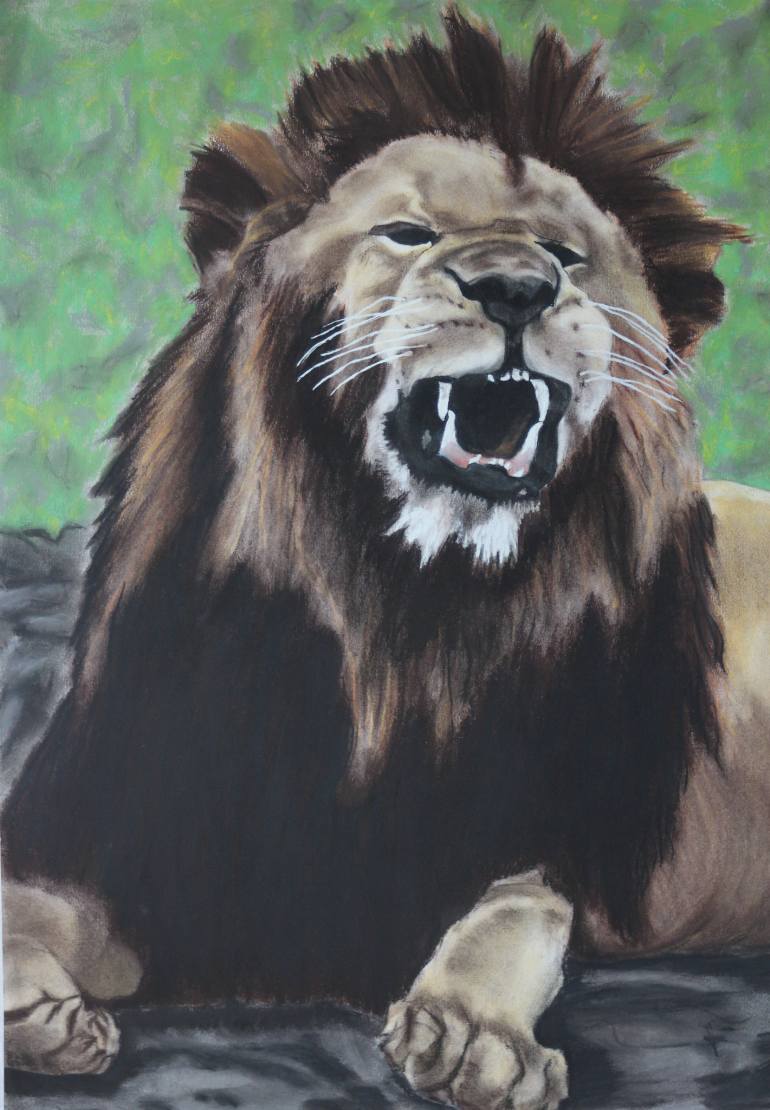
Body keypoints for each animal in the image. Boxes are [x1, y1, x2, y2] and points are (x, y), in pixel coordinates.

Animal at [3, 10, 768, 1109]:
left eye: (567, 256)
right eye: (409, 234)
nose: (516, 286)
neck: (405, 610)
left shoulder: (555, 837)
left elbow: (516, 907)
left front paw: (473, 1034)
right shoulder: (140, 827)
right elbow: (36, 901)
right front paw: (37, 1010)